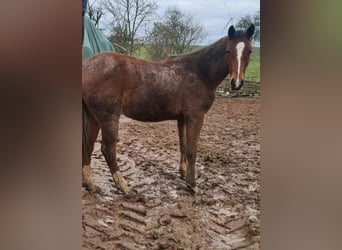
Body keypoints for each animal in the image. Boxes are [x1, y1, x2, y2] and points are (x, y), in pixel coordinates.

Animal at [82, 23, 254, 195]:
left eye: (249, 51)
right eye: (228, 51)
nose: (236, 83)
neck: (199, 72)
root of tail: (87, 66)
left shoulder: (182, 118)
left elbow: (183, 145)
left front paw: (183, 172)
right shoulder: (195, 116)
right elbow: (192, 150)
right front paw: (192, 184)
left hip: (93, 117)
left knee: (88, 145)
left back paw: (90, 185)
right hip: (108, 117)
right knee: (108, 149)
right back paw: (124, 186)